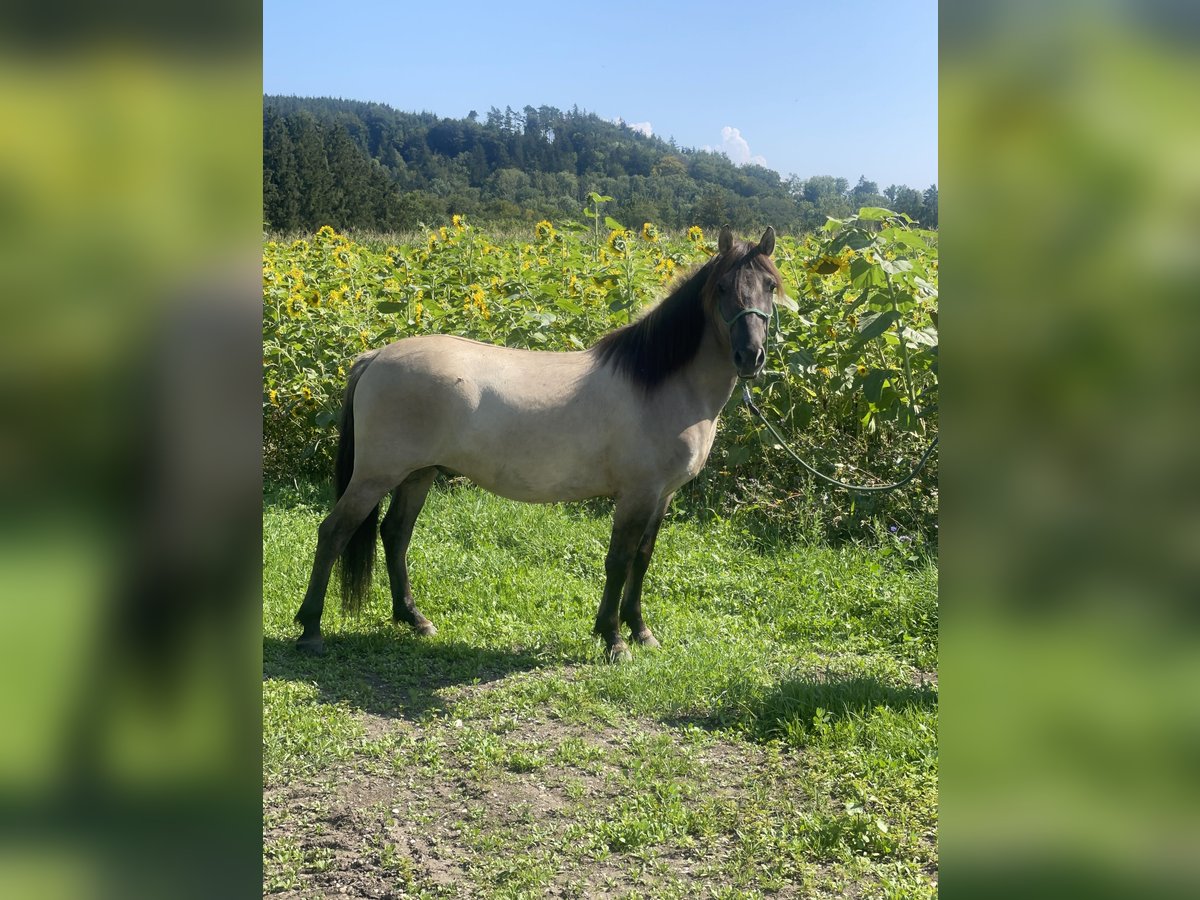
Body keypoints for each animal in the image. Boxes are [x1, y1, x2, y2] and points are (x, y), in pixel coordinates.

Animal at [289, 225, 777, 662]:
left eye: (770, 286)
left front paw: (640, 632)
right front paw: (613, 639)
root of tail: (374, 357)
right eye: (722, 288)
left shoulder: (662, 495)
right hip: (376, 476)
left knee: (395, 534)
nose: (750, 357)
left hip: (417, 474)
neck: (658, 383)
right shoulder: (638, 494)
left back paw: (413, 619)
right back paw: (311, 629)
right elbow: (619, 560)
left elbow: (642, 559)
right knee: (333, 533)